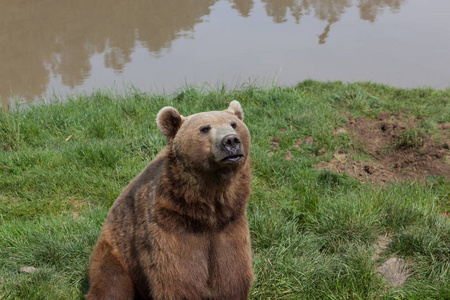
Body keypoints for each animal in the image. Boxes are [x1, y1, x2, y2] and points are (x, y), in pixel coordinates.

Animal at [85, 101, 253, 300]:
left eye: (234, 124)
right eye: (205, 128)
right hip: (117, 251)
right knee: (111, 283)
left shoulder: (230, 223)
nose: (231, 141)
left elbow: (231, 274)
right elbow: (177, 278)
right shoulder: (171, 222)